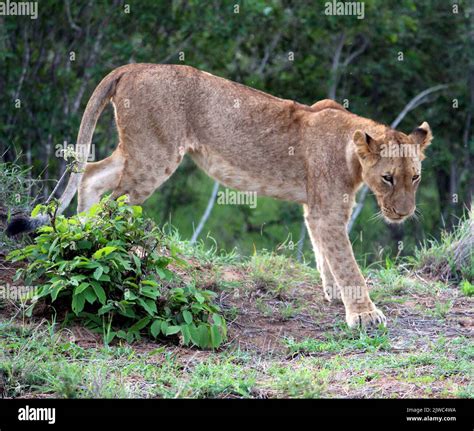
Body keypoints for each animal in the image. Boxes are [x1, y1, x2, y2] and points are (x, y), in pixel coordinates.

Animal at [6, 63, 434, 328]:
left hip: (140, 152)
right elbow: (348, 263)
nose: (404, 213)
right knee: (115, 201)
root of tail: (133, 66)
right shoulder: (327, 210)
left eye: (415, 177)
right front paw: (364, 314)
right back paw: (111, 253)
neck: (351, 152)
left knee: (93, 176)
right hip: (155, 156)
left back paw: (81, 243)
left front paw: (332, 295)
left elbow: (325, 253)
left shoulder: (319, 209)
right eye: (388, 178)